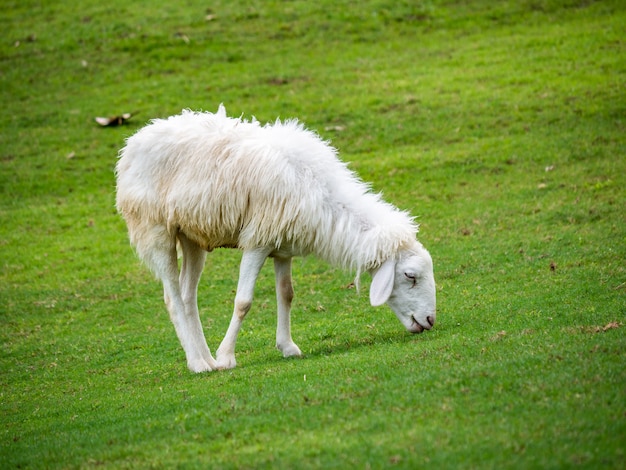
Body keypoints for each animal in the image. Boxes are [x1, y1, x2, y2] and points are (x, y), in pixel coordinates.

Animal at [114, 104, 434, 372]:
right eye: (410, 276)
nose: (431, 321)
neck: (323, 195)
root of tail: (135, 141)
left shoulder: (283, 246)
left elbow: (286, 294)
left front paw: (287, 346)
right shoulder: (258, 239)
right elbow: (243, 301)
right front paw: (226, 357)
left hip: (192, 236)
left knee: (186, 294)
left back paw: (205, 359)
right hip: (155, 229)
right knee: (172, 297)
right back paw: (199, 363)